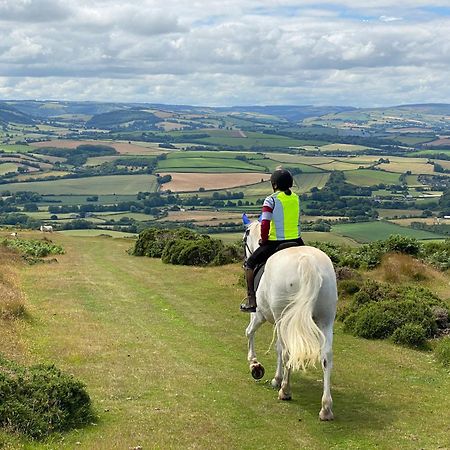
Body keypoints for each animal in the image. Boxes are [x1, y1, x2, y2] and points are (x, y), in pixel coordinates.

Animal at [243, 220, 338, 420]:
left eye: (245, 235)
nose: (245, 259)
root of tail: (308, 262)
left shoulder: (260, 314)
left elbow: (250, 332)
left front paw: (255, 364)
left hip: (284, 318)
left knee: (287, 351)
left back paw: (285, 390)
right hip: (325, 320)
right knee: (326, 355)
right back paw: (326, 408)